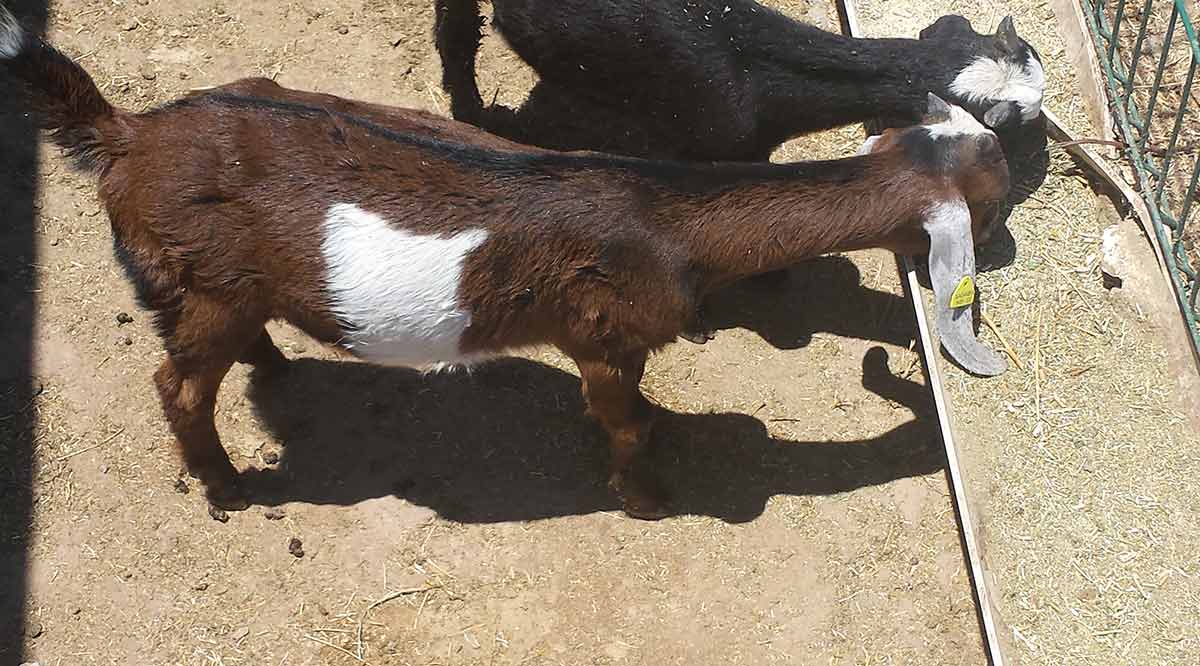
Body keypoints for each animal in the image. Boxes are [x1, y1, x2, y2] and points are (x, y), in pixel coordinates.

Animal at [2, 9, 1003, 520]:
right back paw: (226, 487)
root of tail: (127, 134)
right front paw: (647, 495)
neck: (665, 220)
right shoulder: (602, 335)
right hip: (203, 287)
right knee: (177, 387)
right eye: (993, 194)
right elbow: (624, 422)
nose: (997, 247)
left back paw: (275, 363)